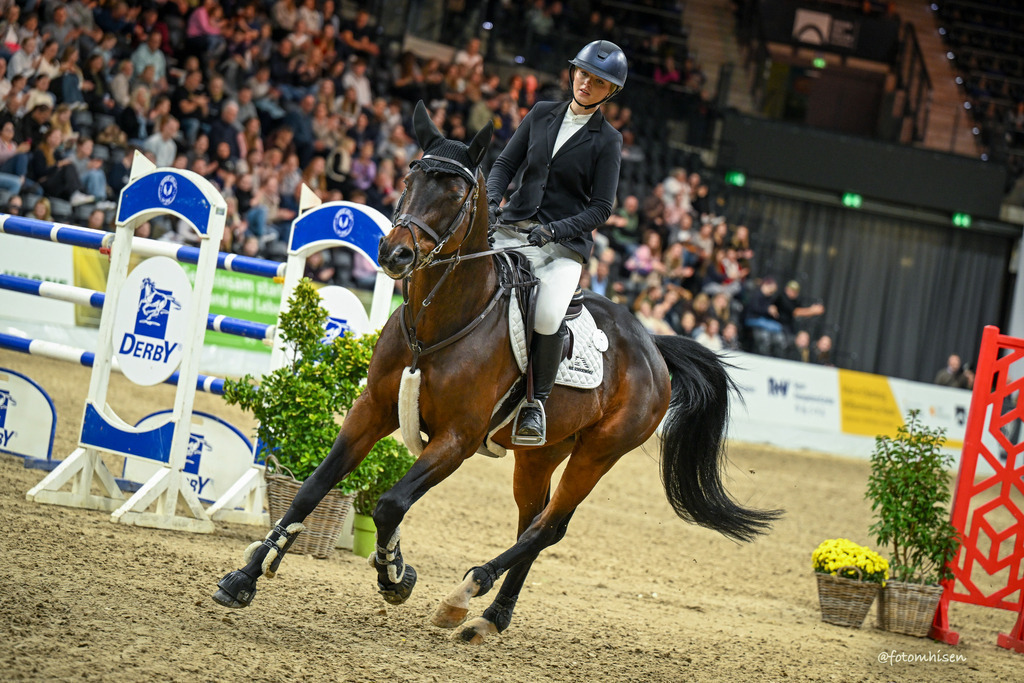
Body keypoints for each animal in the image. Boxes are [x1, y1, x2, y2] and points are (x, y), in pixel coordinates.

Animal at [213, 101, 781, 644]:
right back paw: (491, 617)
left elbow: (391, 503)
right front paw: (246, 577)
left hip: (599, 452)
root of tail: (652, 346)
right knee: (535, 519)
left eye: (455, 193)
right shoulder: (372, 410)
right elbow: (314, 486)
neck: (442, 319)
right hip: (540, 453)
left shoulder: (458, 439)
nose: (394, 253)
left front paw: (395, 576)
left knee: (549, 527)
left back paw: (465, 594)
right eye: (409, 180)